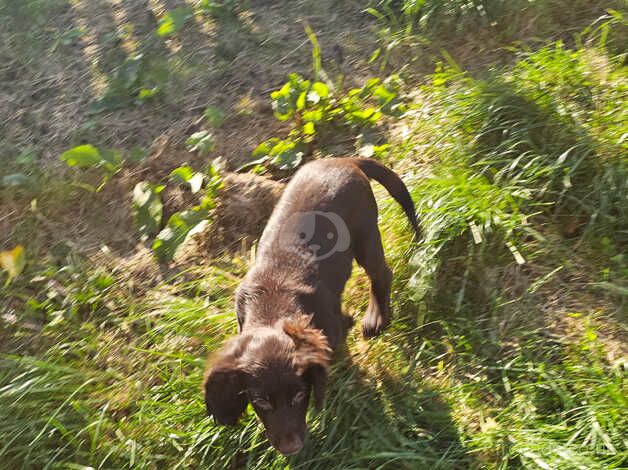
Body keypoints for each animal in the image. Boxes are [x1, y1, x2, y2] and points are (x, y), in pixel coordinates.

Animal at [205, 158, 418, 456]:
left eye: (299, 394)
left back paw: (376, 319)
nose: (292, 448)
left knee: (381, 273)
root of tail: (344, 159)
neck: (272, 308)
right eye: (261, 401)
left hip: (365, 233)